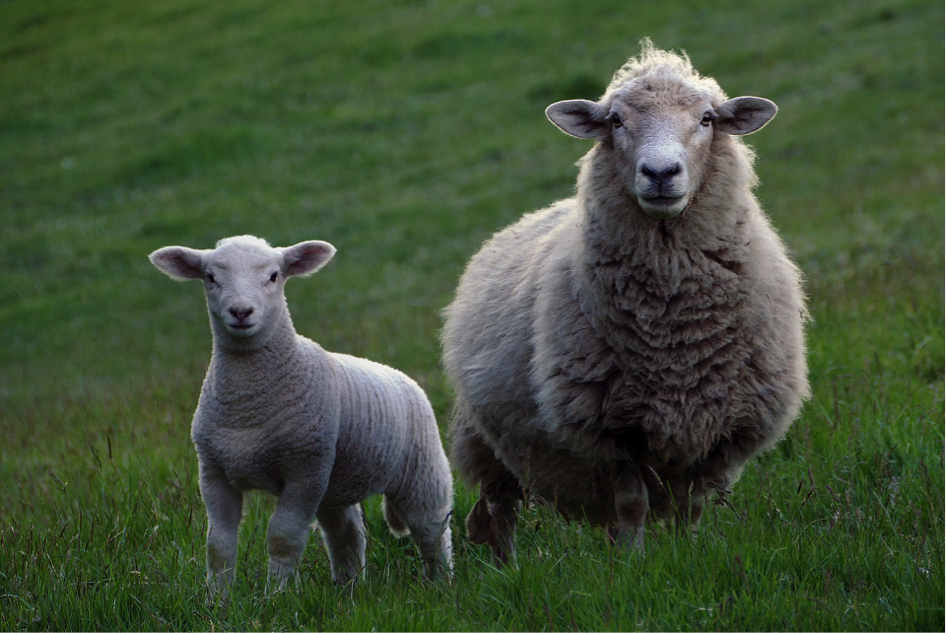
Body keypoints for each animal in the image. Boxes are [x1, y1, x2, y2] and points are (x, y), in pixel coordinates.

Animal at [149, 236, 452, 596]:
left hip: (421, 470)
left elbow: (283, 537)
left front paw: (274, 597)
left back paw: (441, 585)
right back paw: (348, 590)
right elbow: (218, 546)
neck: (245, 407)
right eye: (210, 277)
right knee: (347, 535)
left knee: (432, 529)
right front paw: (216, 601)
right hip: (336, 483)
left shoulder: (304, 470)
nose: (241, 312)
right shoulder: (213, 472)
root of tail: (403, 377)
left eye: (274, 276)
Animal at [440, 42, 804, 560]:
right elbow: (632, 504)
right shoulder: (613, 430)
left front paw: (685, 555)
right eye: (615, 120)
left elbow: (692, 506)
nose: (660, 173)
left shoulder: (718, 429)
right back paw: (507, 567)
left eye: (707, 118)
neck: (674, 330)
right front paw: (634, 564)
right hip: (486, 442)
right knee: (498, 511)